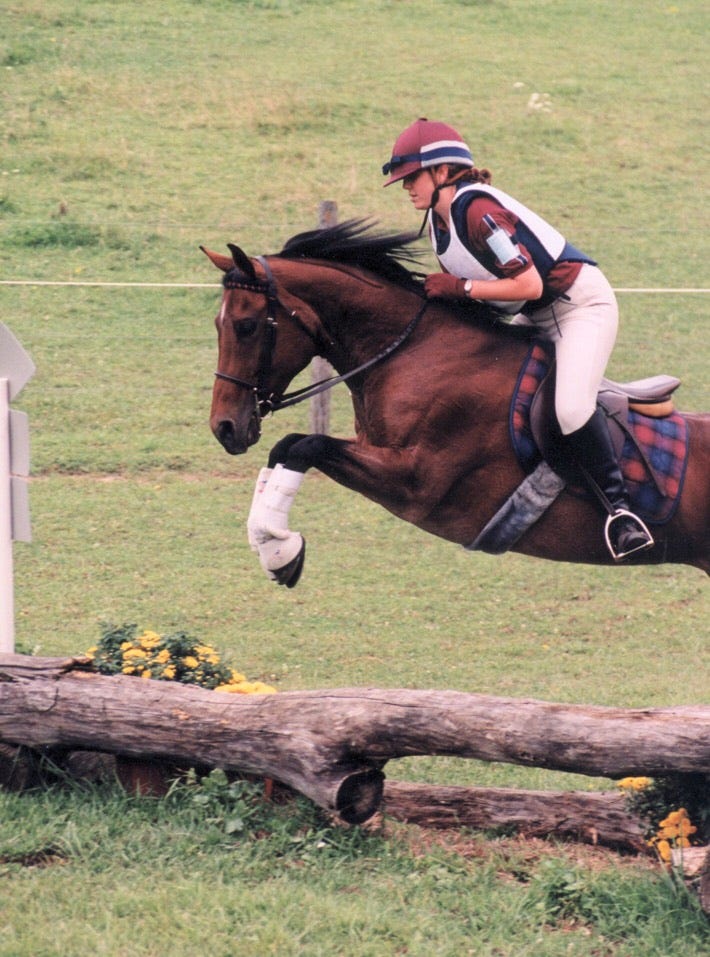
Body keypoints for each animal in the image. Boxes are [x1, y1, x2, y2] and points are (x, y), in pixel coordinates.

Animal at [202, 220, 710, 588]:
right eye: (218, 325)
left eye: (246, 326)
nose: (224, 427)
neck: (413, 350)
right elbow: (287, 446)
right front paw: (274, 549)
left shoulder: (416, 481)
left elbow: (305, 445)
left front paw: (280, 548)